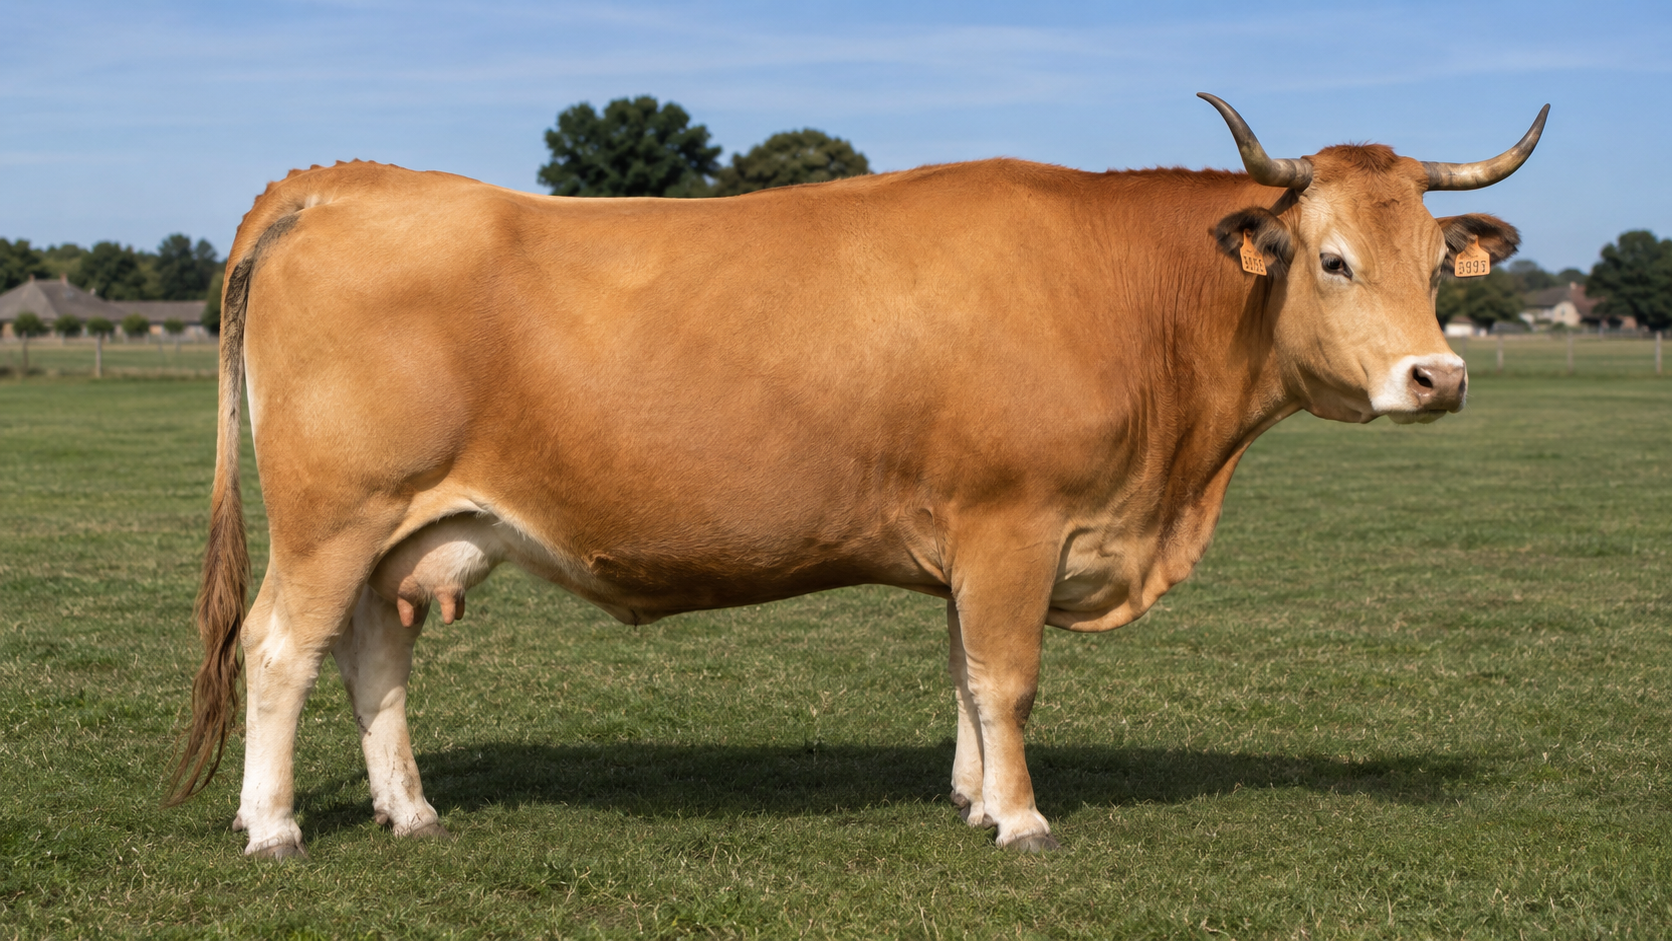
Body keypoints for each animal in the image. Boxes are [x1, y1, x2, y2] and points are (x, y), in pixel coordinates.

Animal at [169, 95, 1545, 859]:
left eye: (1437, 259)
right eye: (1328, 258)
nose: (1435, 376)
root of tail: (337, 185)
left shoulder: (977, 536)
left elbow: (964, 674)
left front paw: (972, 798)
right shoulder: (1017, 519)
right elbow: (1009, 676)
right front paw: (1023, 819)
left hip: (399, 531)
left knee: (373, 653)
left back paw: (408, 811)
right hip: (333, 518)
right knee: (280, 646)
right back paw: (273, 825)